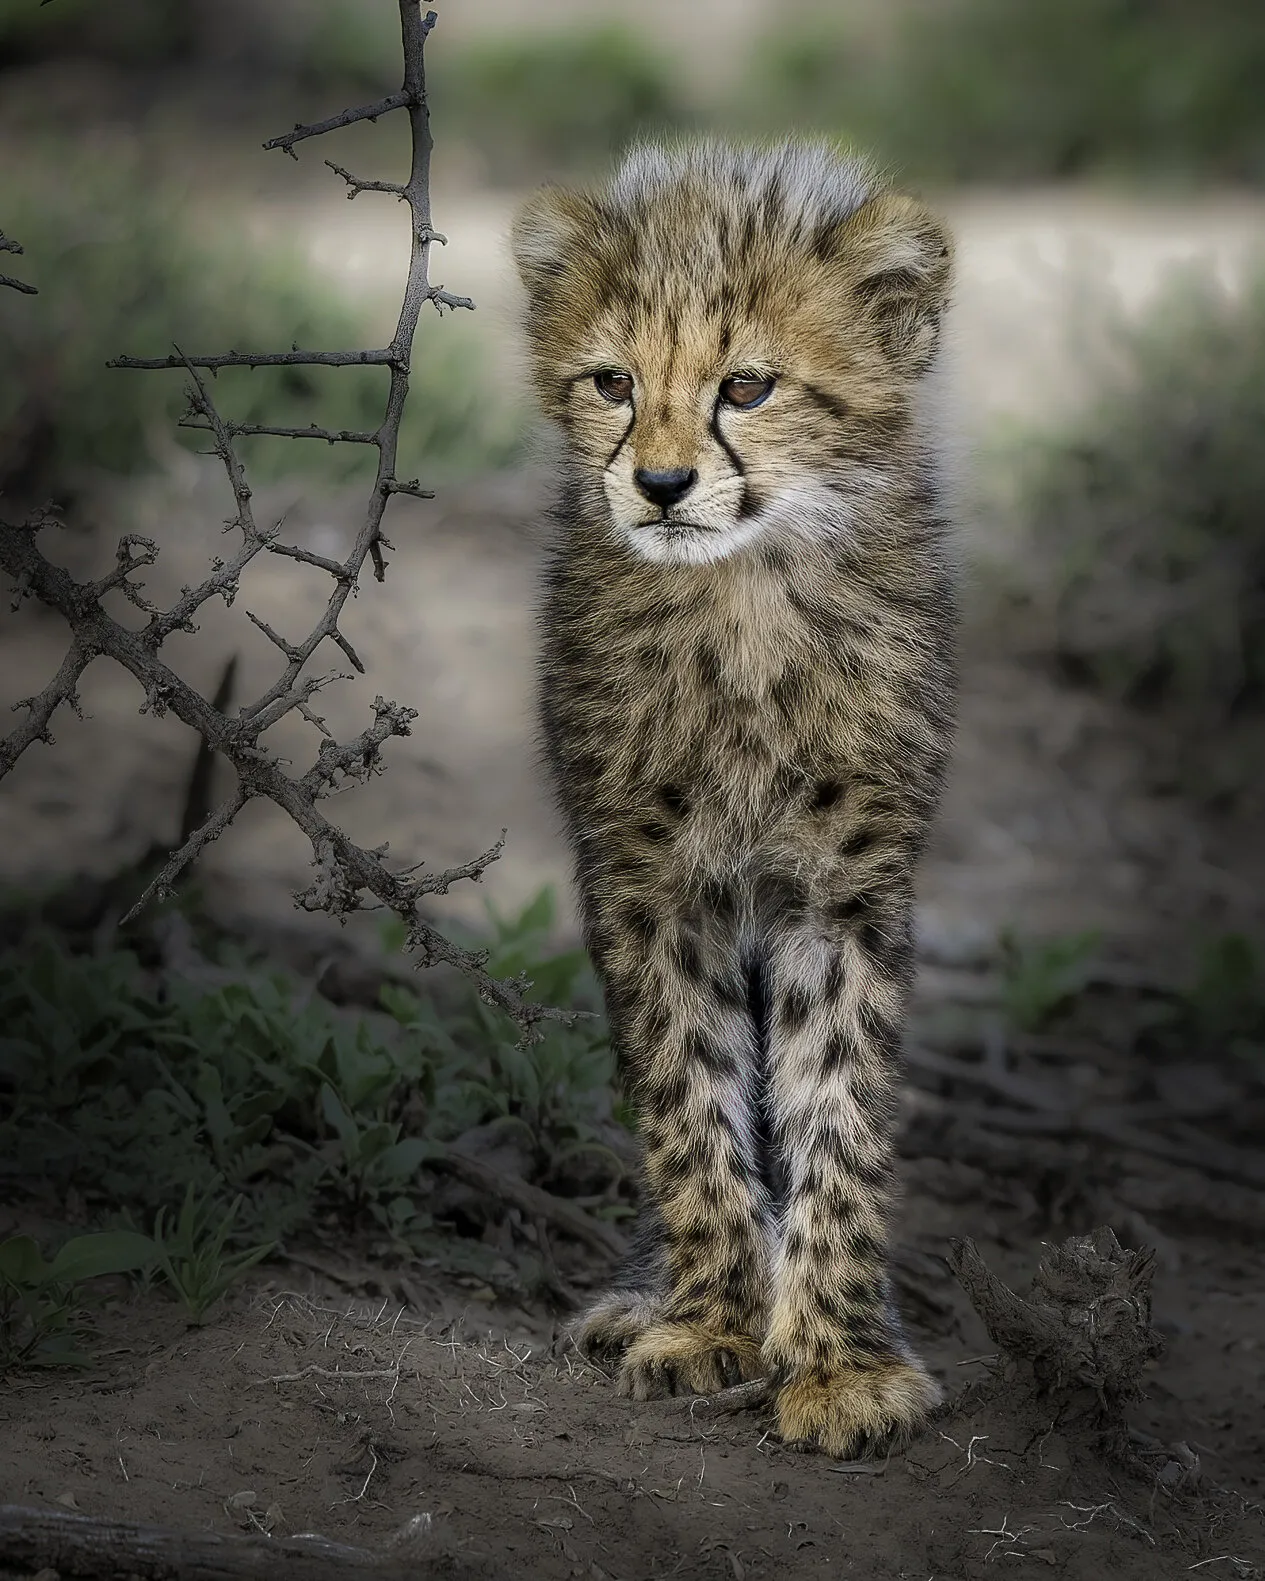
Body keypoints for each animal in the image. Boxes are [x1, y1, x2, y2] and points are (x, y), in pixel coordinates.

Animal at [512, 139, 957, 1459]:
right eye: (612, 381)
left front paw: (840, 1361)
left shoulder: (842, 896)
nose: (659, 484)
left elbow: (839, 1112)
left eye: (747, 387)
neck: (744, 596)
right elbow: (687, 1102)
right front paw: (708, 1319)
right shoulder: (647, 887)